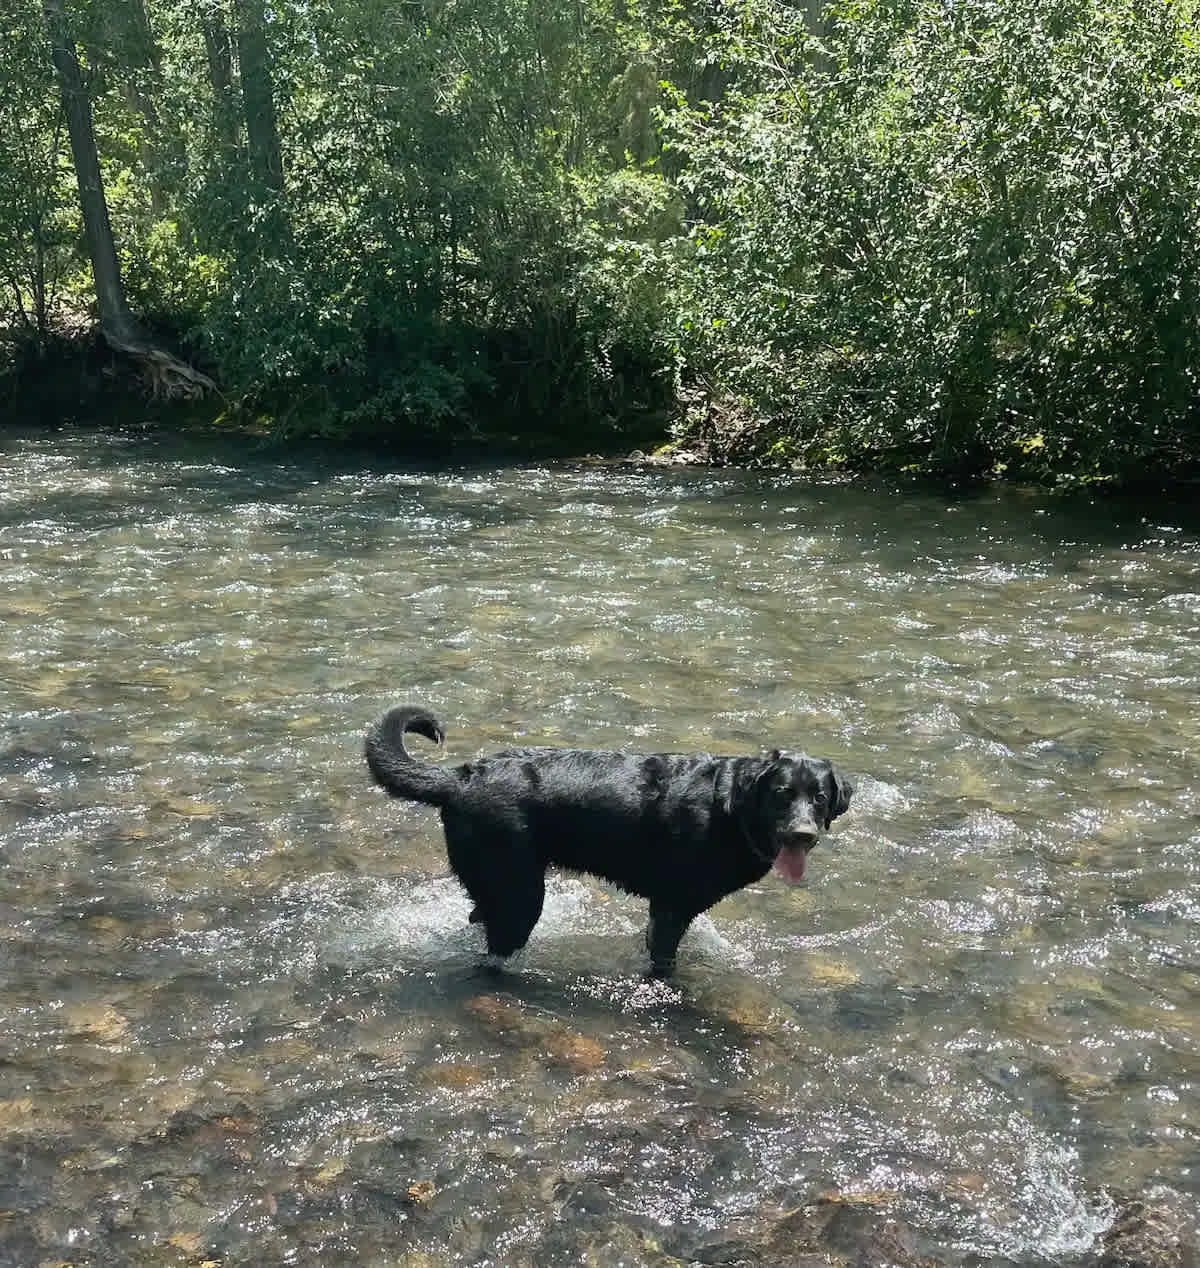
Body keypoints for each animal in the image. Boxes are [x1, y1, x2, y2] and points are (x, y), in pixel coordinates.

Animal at [360, 710, 847, 973]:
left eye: (819, 798)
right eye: (782, 794)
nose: (803, 834)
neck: (729, 805)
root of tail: (460, 777)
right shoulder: (671, 908)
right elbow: (664, 962)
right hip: (521, 895)